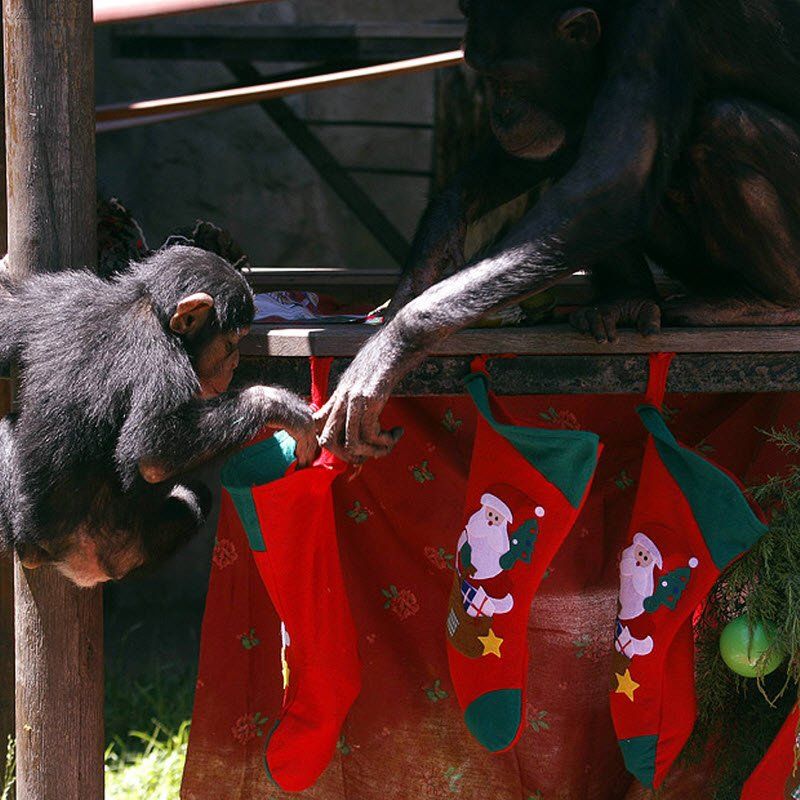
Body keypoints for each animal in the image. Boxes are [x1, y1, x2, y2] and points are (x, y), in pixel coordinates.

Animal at [0, 244, 318, 588]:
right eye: (230, 342)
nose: (234, 363)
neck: (147, 306)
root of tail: (78, 567)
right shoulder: (161, 359)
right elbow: (153, 452)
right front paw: (276, 404)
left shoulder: (58, 294)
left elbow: (8, 307)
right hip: (115, 550)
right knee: (193, 498)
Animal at [316, 0, 800, 460]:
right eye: (484, 74)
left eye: (510, 77)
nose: (502, 112)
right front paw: (436, 239)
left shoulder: (656, 25)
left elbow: (614, 183)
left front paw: (392, 346)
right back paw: (626, 300)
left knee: (726, 123)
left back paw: (768, 305)